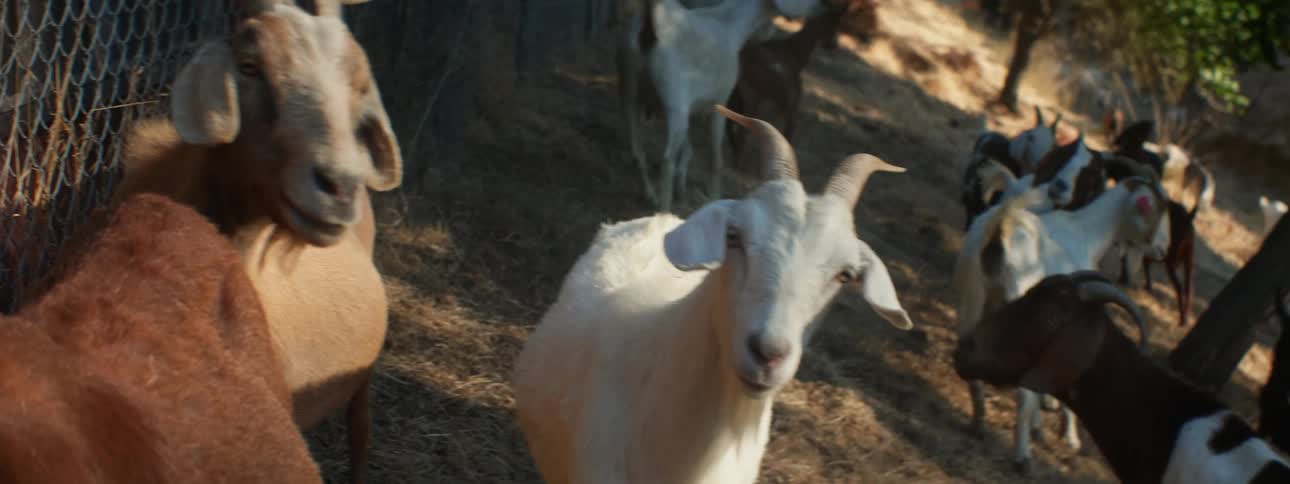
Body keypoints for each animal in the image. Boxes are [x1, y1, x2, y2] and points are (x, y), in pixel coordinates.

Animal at [618, 0, 825, 211]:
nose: (820, 7)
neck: (732, 27)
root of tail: (652, 26)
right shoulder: (719, 103)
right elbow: (715, 159)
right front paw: (713, 199)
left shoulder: (691, 108)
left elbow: (688, 149)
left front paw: (681, 191)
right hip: (674, 101)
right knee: (667, 158)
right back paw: (664, 208)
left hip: (630, 88)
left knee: (637, 149)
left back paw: (650, 194)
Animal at [955, 177, 1169, 474]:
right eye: (1158, 211)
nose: (1162, 249)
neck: (1085, 232)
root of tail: (1001, 224)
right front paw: (1070, 437)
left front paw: (1041, 425)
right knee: (1022, 394)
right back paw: (1022, 456)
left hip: (972, 297)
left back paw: (979, 424)